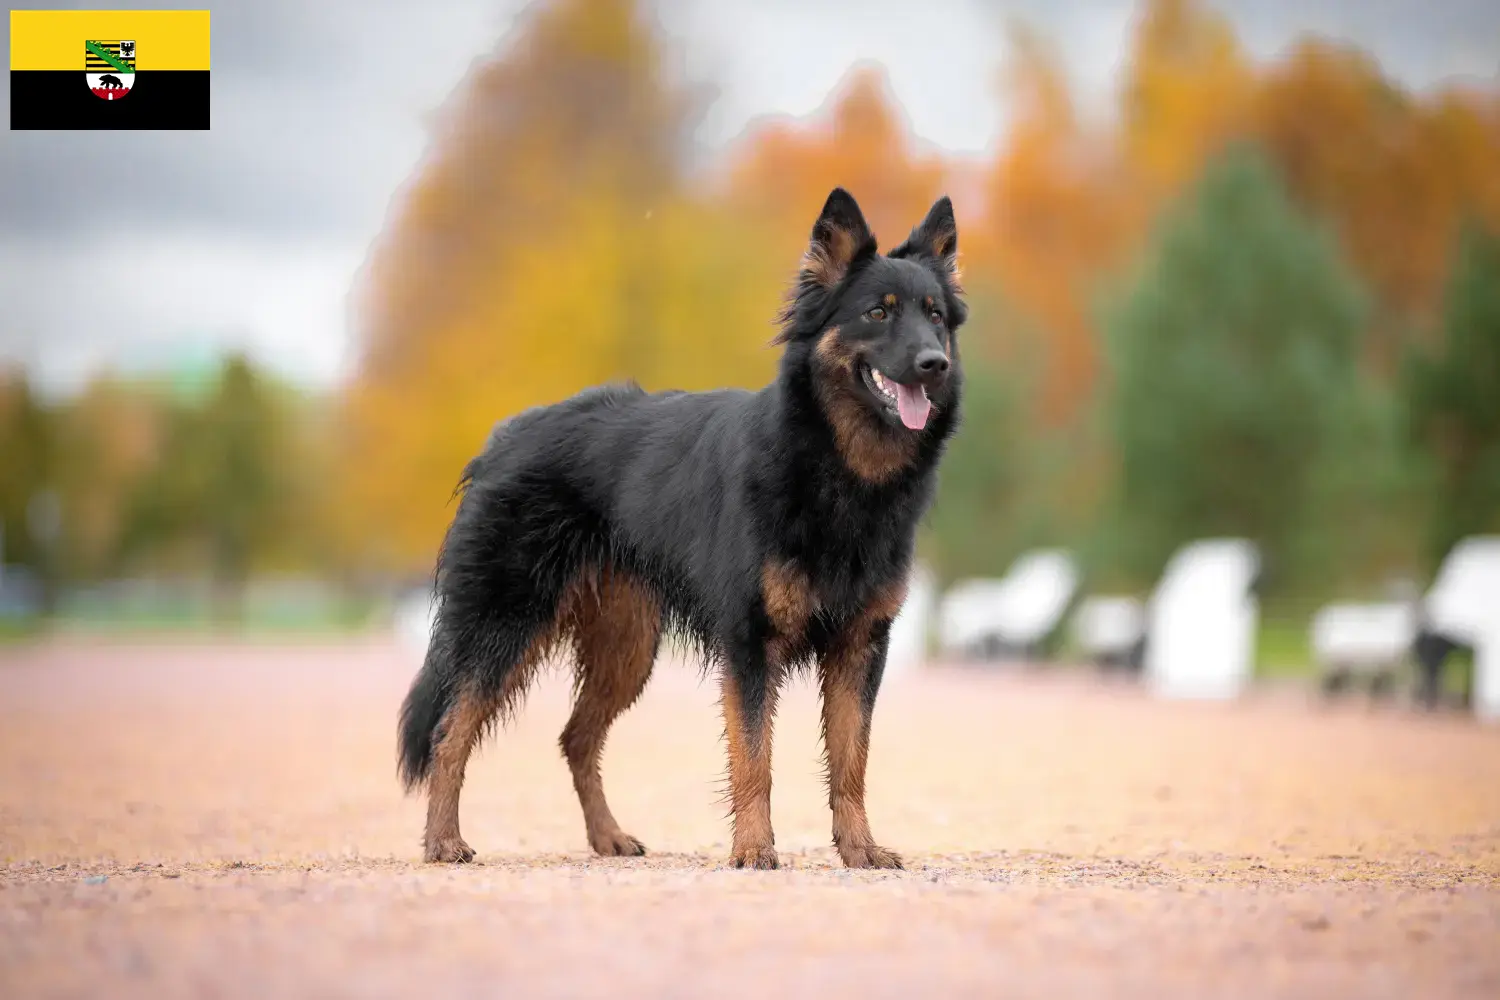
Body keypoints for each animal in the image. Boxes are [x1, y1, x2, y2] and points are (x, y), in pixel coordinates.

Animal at [396, 185, 960, 869]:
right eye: (878, 313)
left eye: (935, 317)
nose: (934, 364)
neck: (836, 469)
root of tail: (504, 436)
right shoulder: (751, 646)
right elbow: (755, 759)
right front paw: (753, 849)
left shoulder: (860, 649)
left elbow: (851, 763)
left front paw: (858, 849)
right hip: (505, 625)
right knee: (450, 730)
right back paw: (443, 840)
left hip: (627, 649)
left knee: (575, 738)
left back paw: (606, 837)